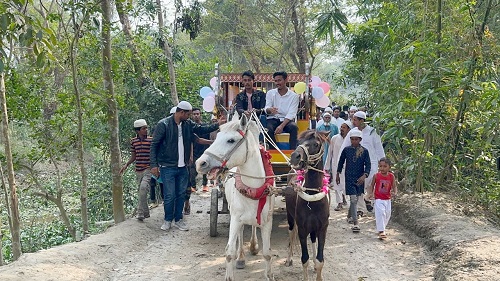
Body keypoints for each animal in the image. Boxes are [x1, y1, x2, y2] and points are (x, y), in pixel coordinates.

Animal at [195, 114, 276, 280]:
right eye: (217, 136)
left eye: (231, 140)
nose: (200, 163)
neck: (254, 188)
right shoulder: (235, 218)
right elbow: (229, 252)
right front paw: (232, 269)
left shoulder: (267, 222)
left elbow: (267, 253)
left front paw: (269, 274)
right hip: (235, 214)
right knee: (241, 231)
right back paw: (241, 258)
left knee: (252, 225)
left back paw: (253, 246)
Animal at [284, 130, 330, 278]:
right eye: (299, 142)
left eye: (316, 144)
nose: (295, 156)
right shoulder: (303, 229)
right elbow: (305, 259)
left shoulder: (322, 228)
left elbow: (320, 260)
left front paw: (317, 267)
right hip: (290, 217)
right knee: (291, 233)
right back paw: (288, 259)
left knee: (313, 239)